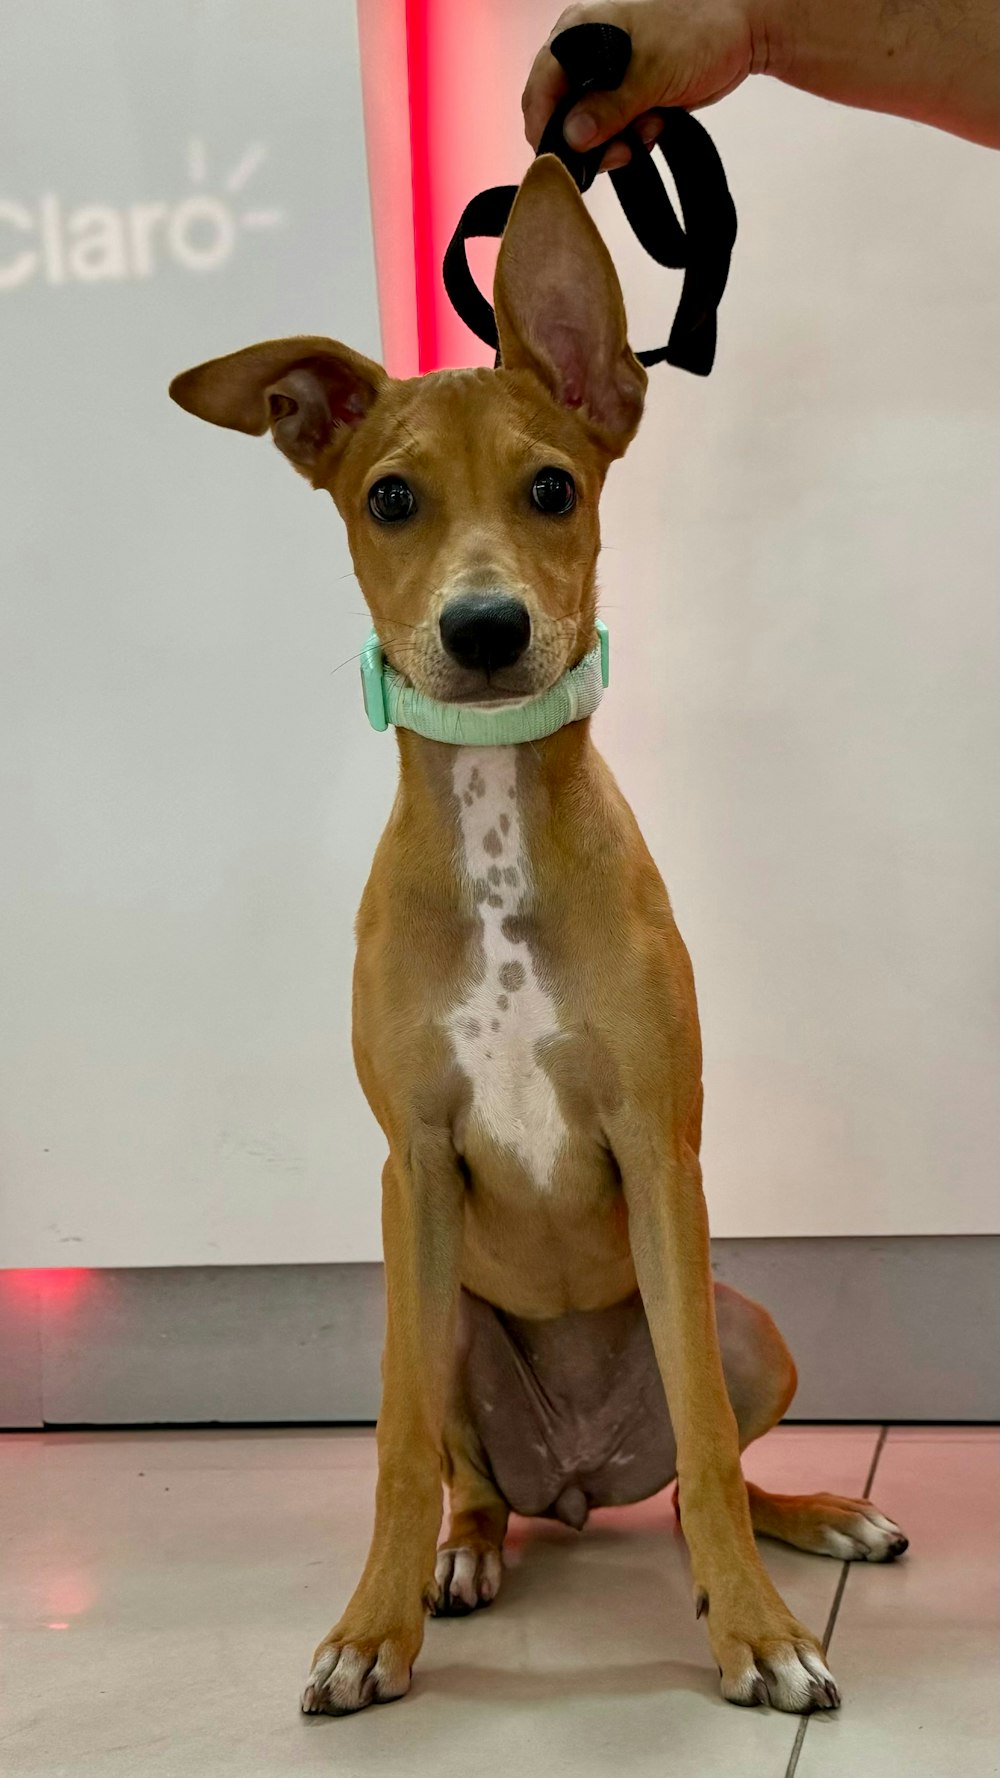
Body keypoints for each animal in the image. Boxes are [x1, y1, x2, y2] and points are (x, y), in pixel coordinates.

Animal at [169, 156, 903, 1721]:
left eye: (553, 486)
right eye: (388, 497)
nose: (487, 628)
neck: (500, 824)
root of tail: (578, 1471)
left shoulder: (657, 1148)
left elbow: (704, 1431)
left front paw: (759, 1633)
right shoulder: (414, 1166)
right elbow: (390, 1451)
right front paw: (367, 1627)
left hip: (745, 1313)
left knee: (702, 1466)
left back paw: (813, 1518)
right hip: (438, 1315)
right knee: (471, 1474)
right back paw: (465, 1552)